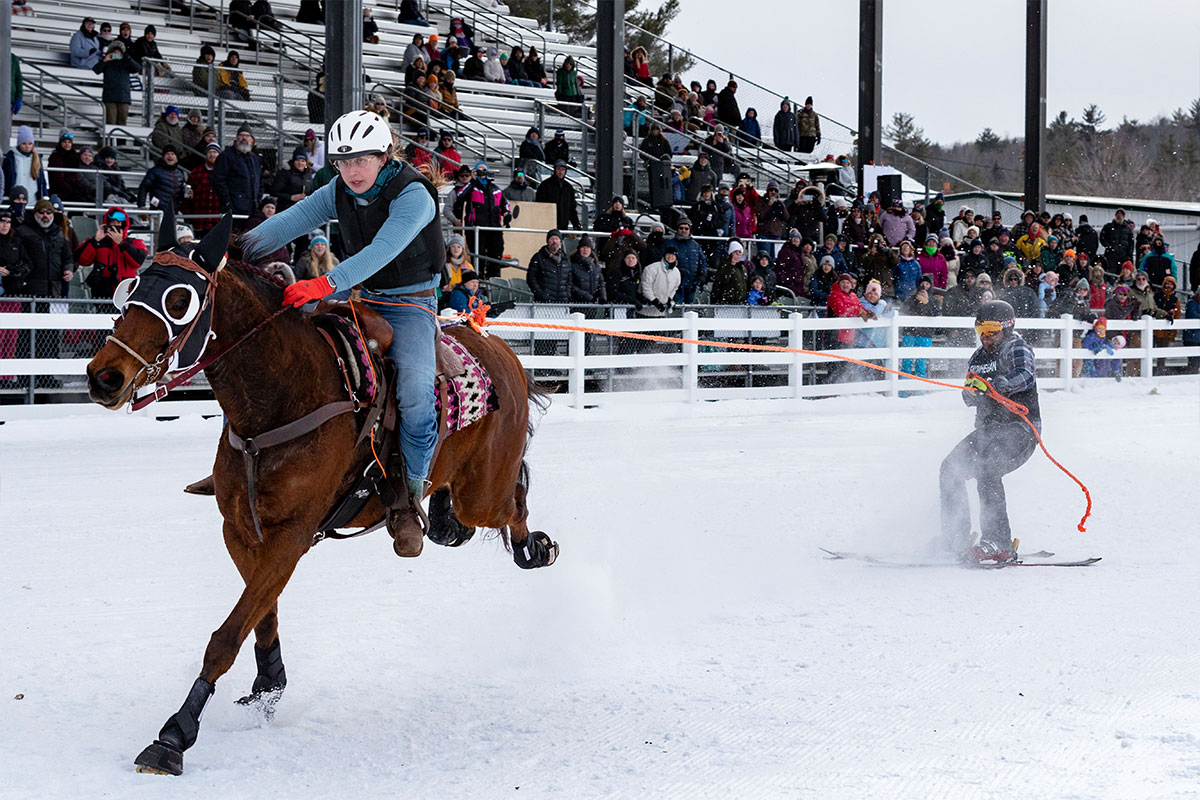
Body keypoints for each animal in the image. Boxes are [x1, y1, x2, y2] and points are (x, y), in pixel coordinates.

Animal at [85, 214, 556, 777]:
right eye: (129, 289)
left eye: (180, 299)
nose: (104, 376)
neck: (284, 396)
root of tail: (501, 348)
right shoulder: (241, 529)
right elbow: (261, 613)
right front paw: (269, 683)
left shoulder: (291, 535)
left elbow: (226, 636)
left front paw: (174, 735)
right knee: (464, 517)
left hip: (482, 493)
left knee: (514, 502)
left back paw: (534, 547)